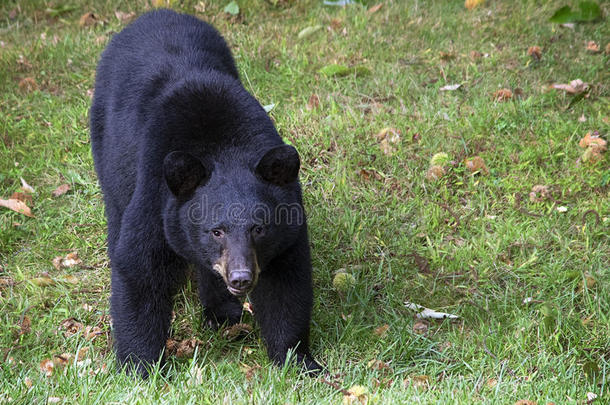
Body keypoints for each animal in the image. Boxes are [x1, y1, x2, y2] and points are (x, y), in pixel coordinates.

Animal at [90, 9, 320, 376]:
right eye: (216, 231)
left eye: (259, 228)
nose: (240, 277)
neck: (222, 147)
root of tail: (154, 13)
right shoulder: (157, 192)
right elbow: (140, 267)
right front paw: (142, 367)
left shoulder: (289, 220)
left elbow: (285, 282)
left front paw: (298, 361)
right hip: (107, 146)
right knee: (116, 210)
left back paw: (223, 313)